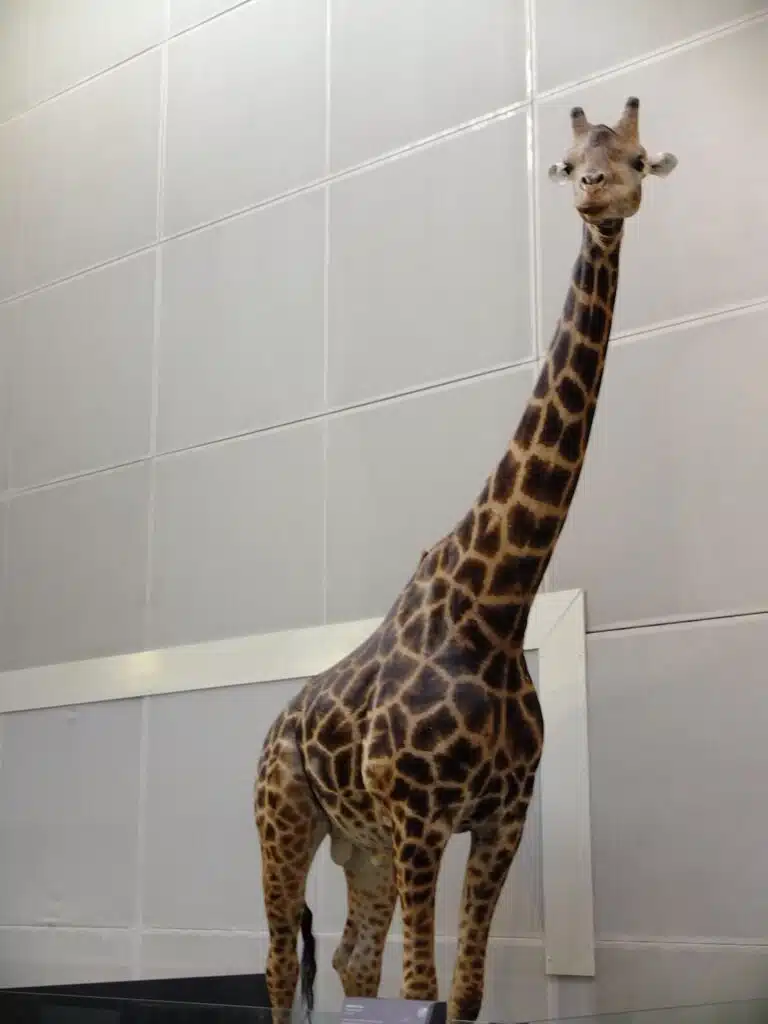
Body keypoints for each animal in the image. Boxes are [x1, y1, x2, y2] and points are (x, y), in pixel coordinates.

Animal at [254, 97, 677, 1022]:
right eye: (570, 163)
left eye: (638, 159)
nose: (600, 195)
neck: (496, 610)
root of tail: (276, 725)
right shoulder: (421, 817)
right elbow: (426, 987)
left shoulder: (500, 818)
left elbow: (465, 994)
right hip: (285, 819)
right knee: (276, 961)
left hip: (361, 844)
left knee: (351, 959)